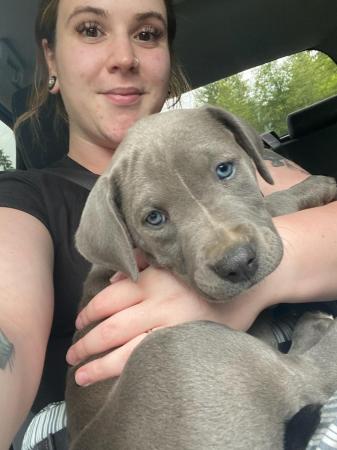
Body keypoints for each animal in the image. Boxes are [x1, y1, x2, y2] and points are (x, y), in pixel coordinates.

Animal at [65, 106, 336, 450]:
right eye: (154, 218)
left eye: (224, 170)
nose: (237, 264)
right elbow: (275, 203)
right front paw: (315, 186)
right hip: (180, 349)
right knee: (309, 375)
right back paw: (317, 326)